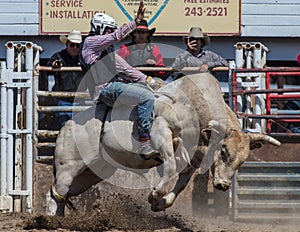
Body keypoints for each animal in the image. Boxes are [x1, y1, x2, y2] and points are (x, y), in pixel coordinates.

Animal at [45, 72, 280, 216]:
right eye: (223, 151)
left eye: (242, 161)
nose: (223, 185)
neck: (195, 107)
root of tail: (66, 126)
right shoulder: (162, 130)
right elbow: (169, 168)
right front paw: (155, 194)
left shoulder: (193, 158)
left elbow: (181, 182)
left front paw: (160, 203)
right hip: (68, 167)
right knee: (57, 192)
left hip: (92, 173)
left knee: (60, 194)